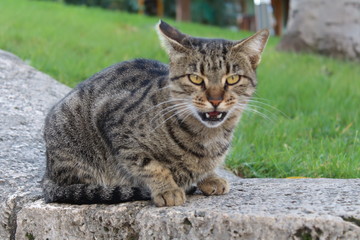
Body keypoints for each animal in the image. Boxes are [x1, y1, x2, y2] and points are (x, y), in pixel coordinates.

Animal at [42, 20, 268, 207]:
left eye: (232, 79)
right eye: (195, 78)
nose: (215, 100)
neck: (209, 138)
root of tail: (48, 172)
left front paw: (210, 177)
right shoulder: (118, 130)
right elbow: (151, 166)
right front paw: (168, 190)